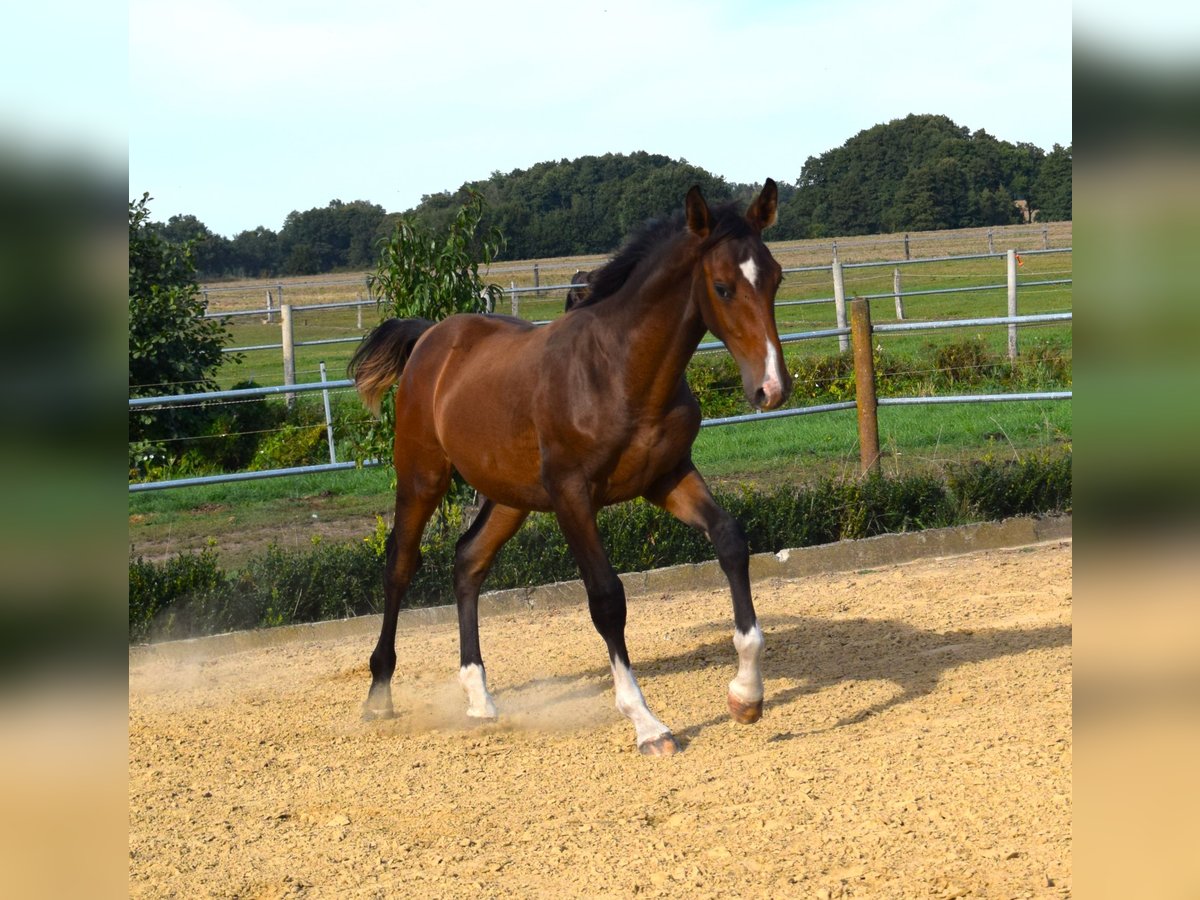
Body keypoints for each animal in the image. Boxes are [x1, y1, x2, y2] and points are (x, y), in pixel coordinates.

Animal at [348, 180, 792, 758]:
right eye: (721, 286)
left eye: (776, 277)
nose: (771, 389)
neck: (618, 371)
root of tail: (430, 337)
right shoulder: (572, 496)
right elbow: (606, 598)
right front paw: (648, 725)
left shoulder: (667, 477)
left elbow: (731, 542)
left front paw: (746, 695)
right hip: (423, 477)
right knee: (400, 564)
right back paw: (379, 694)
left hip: (509, 495)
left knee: (468, 561)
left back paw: (480, 699)